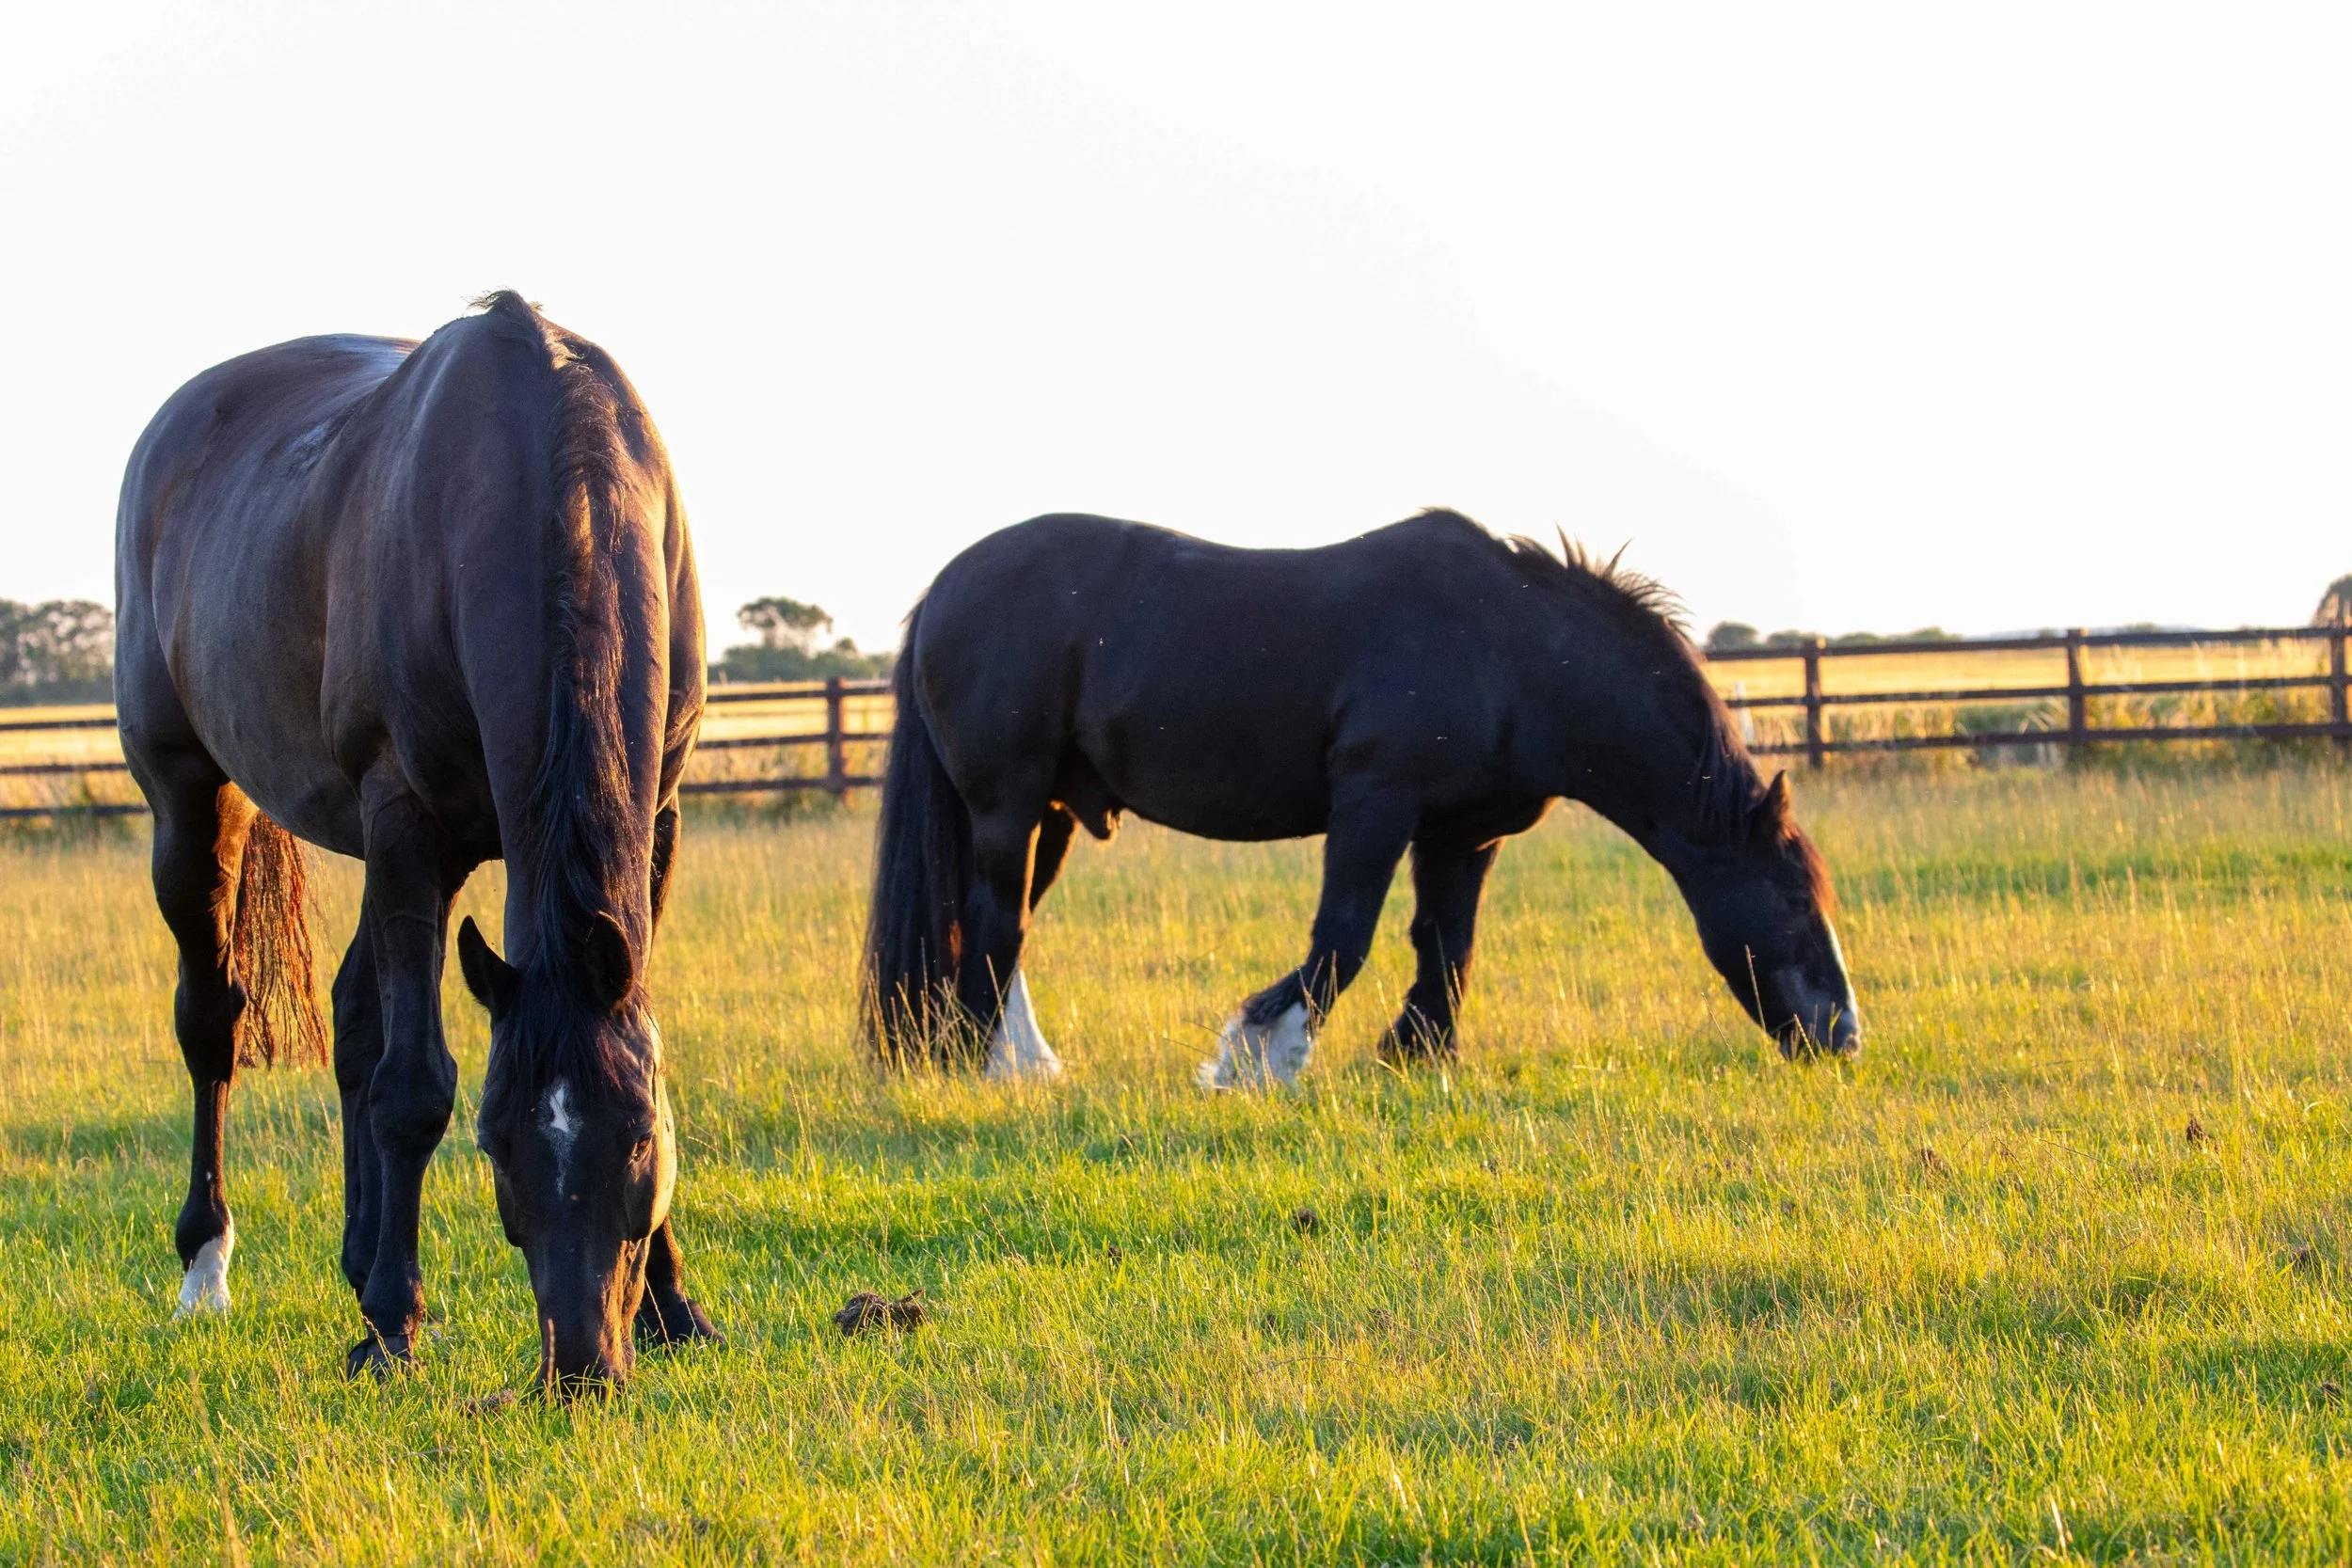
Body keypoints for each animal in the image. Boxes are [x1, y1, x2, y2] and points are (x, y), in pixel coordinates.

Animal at [114, 292, 716, 1388]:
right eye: (499, 1149)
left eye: (636, 1146)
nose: (580, 1366)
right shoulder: (404, 821)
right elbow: (413, 1087)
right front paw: (395, 1323)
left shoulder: (656, 814)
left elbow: (633, 1035)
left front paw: (675, 1308)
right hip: (194, 803)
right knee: (213, 1023)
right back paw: (209, 1268)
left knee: (356, 1011)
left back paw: (359, 1261)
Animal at [862, 510, 1859, 1085]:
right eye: (1793, 902)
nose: (1845, 1036)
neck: (1511, 649)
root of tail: (945, 589)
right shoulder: (1374, 806)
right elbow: (1343, 938)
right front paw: (1259, 1056)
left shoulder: (1464, 834)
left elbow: (1447, 945)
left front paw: (1417, 1054)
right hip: (1008, 806)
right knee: (994, 921)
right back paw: (978, 1065)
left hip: (1054, 812)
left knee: (1001, 926)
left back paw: (1020, 1061)